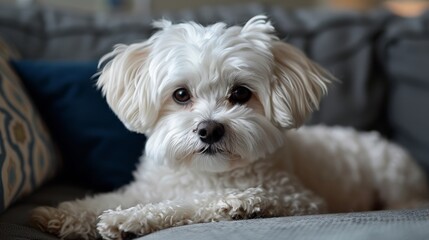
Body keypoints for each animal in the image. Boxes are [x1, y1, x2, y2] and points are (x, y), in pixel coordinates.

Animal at [31, 15, 426, 240]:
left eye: (240, 94)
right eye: (180, 94)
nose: (209, 130)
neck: (205, 173)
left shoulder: (295, 197)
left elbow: (189, 204)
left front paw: (126, 220)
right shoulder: (148, 187)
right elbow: (109, 198)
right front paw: (64, 214)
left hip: (393, 176)